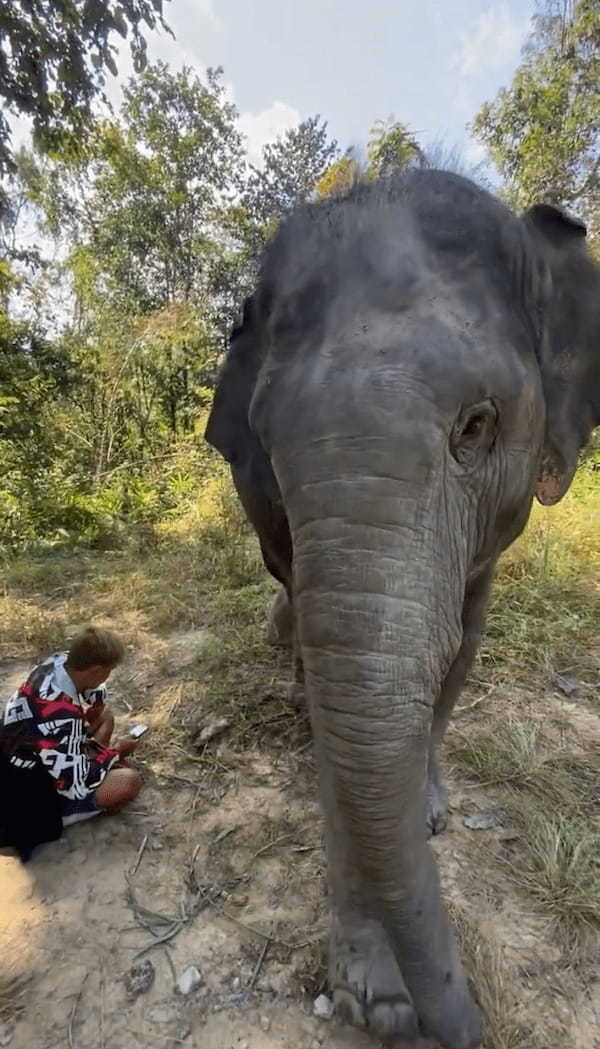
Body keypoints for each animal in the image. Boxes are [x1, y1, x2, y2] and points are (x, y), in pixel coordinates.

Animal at [203, 172, 595, 1049]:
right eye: (266, 441)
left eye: (477, 425)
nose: (470, 1023)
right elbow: (339, 700)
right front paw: (374, 998)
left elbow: (461, 645)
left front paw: (428, 812)